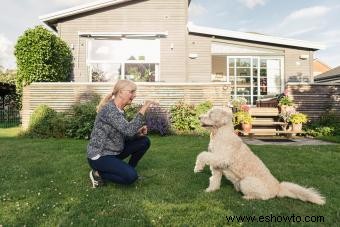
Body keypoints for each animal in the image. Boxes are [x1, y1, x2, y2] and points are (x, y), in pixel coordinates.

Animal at [194, 107, 324, 205]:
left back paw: (248, 197)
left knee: (263, 197)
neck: (219, 133)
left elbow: (202, 154)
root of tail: (278, 187)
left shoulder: (222, 157)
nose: (199, 117)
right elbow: (214, 179)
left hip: (245, 182)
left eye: (211, 114)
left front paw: (197, 167)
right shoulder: (217, 164)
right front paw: (211, 190)